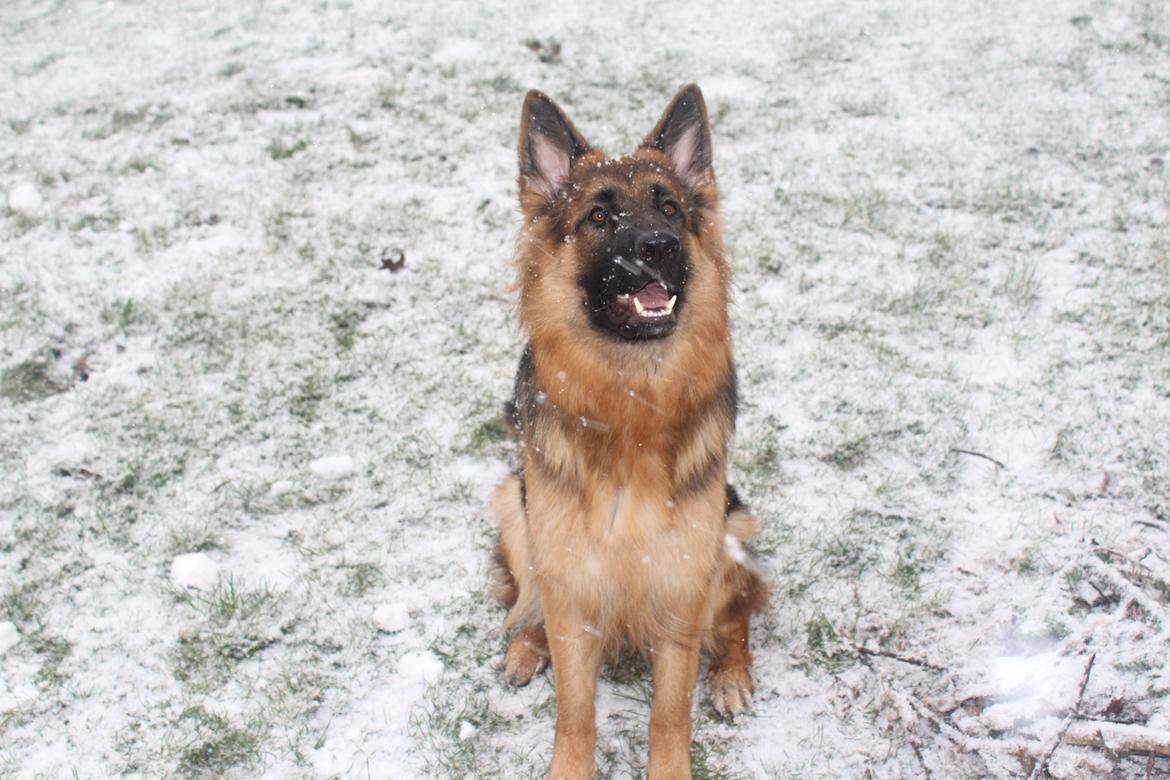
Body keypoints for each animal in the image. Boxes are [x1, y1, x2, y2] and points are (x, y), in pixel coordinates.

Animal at [486, 85, 767, 780]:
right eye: (597, 218)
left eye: (670, 208)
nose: (660, 245)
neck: (630, 408)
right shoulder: (572, 589)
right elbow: (574, 713)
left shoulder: (681, 589)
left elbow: (669, 714)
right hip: (512, 507)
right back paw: (526, 646)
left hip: (732, 527)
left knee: (741, 611)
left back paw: (730, 674)